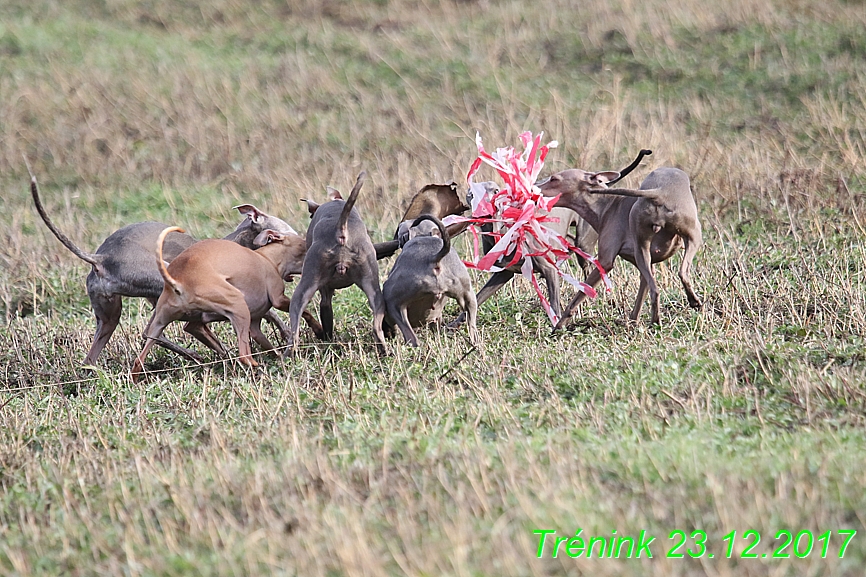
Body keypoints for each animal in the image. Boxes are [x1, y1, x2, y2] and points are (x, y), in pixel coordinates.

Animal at [31, 176, 320, 364]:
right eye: (287, 231)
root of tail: (100, 258)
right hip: (160, 280)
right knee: (150, 331)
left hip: (108, 315)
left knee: (97, 355)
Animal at [133, 226, 308, 382]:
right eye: (303, 244)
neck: (267, 258)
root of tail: (177, 282)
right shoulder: (278, 298)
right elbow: (303, 311)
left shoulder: (255, 326)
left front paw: (280, 357)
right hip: (238, 305)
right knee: (244, 355)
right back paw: (258, 369)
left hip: (161, 324)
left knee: (139, 360)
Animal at [286, 170, 384, 352]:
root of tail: (341, 232)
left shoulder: (325, 291)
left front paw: (327, 339)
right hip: (373, 288)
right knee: (377, 325)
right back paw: (384, 350)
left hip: (304, 287)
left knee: (294, 333)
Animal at [384, 214, 480, 344]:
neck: (424, 236)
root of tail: (435, 258)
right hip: (469, 296)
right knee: (473, 329)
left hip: (394, 301)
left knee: (412, 338)